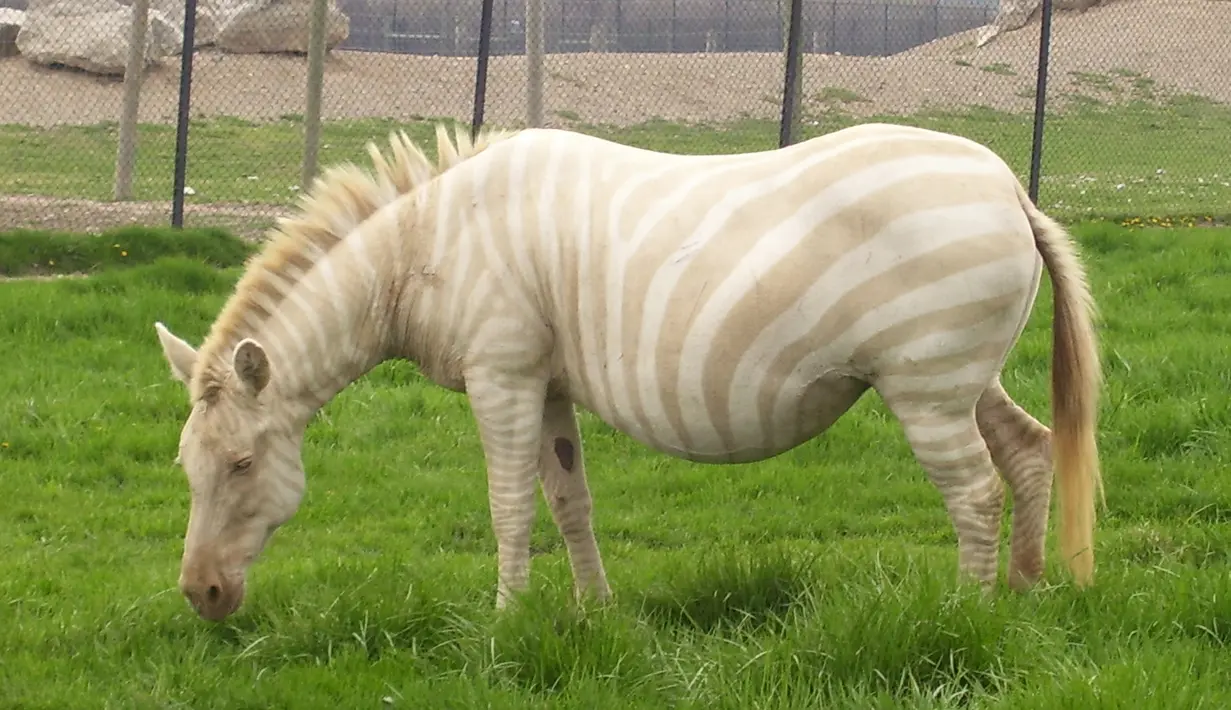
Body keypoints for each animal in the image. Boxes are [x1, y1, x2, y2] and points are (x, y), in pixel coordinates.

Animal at [153, 122, 1102, 622]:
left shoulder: (501, 373)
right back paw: (1023, 594)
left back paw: (965, 615)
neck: (423, 250)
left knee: (973, 491)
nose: (200, 595)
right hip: (960, 378)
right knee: (1028, 452)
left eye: (241, 465)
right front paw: (592, 613)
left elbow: (507, 505)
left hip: (925, 387)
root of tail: (1008, 186)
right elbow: (569, 501)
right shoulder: (546, 383)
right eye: (185, 469)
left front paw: (504, 620)